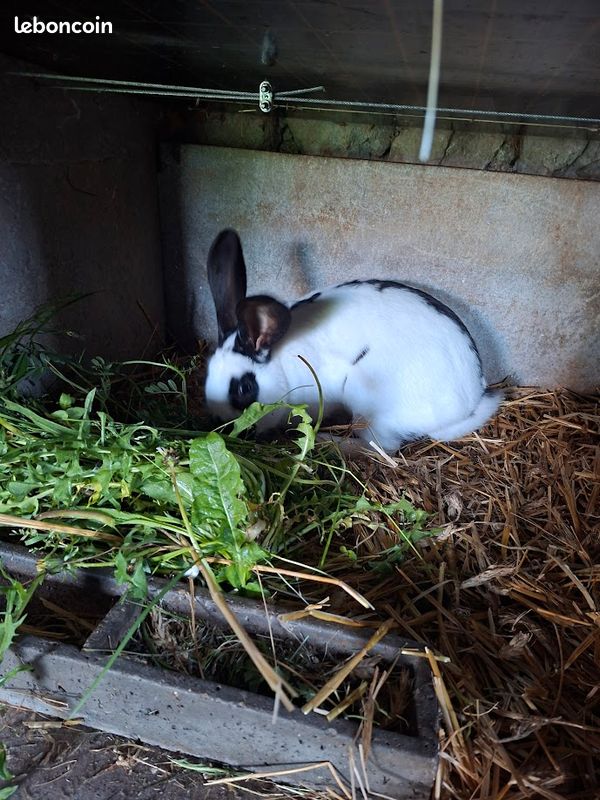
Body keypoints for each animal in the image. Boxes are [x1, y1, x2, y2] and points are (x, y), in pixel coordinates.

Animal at [204, 229, 502, 452]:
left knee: (378, 449)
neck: (281, 368)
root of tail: (469, 403)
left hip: (372, 410)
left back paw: (328, 441)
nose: (222, 425)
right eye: (206, 373)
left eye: (244, 388)